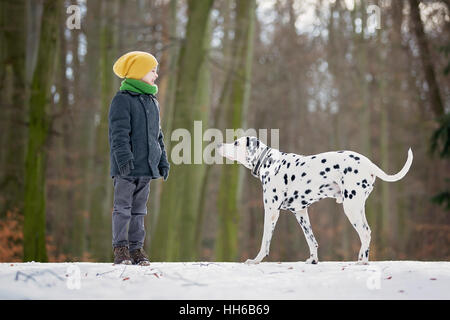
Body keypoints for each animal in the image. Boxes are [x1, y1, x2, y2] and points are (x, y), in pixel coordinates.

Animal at [216, 136, 414, 264]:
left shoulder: (271, 212)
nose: (218, 145)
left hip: (351, 207)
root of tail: (369, 163)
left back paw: (362, 261)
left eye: (236, 143)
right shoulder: (301, 213)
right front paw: (313, 260)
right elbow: (311, 239)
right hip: (356, 207)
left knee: (366, 232)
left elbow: (265, 240)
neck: (270, 163)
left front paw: (256, 260)